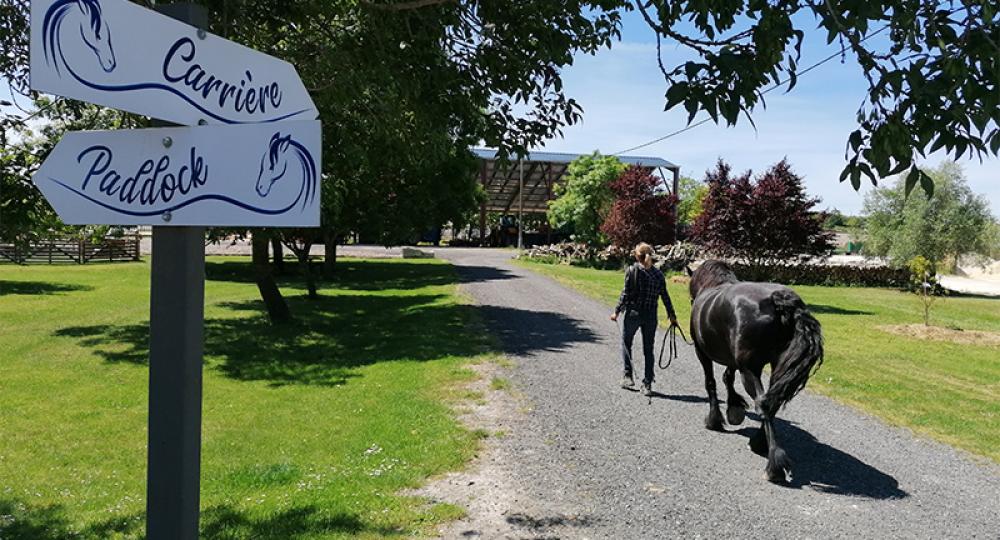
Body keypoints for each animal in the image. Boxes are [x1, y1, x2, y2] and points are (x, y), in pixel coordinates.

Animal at [692, 260, 824, 480]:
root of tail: (780, 300)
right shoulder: (733, 359)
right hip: (776, 368)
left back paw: (773, 463)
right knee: (771, 402)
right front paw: (734, 408)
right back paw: (760, 443)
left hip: (750, 369)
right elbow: (727, 378)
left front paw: (714, 419)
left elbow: (711, 383)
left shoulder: (702, 353)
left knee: (763, 403)